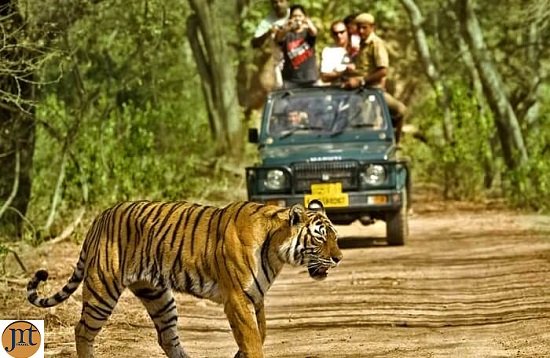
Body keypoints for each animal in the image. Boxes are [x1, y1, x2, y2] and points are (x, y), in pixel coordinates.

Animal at [29, 200, 344, 356]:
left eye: (335, 236)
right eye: (320, 237)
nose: (339, 258)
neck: (275, 249)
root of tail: (100, 217)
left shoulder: (257, 298)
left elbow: (260, 335)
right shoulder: (237, 299)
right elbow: (253, 340)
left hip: (157, 295)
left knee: (167, 337)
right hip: (102, 290)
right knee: (82, 331)